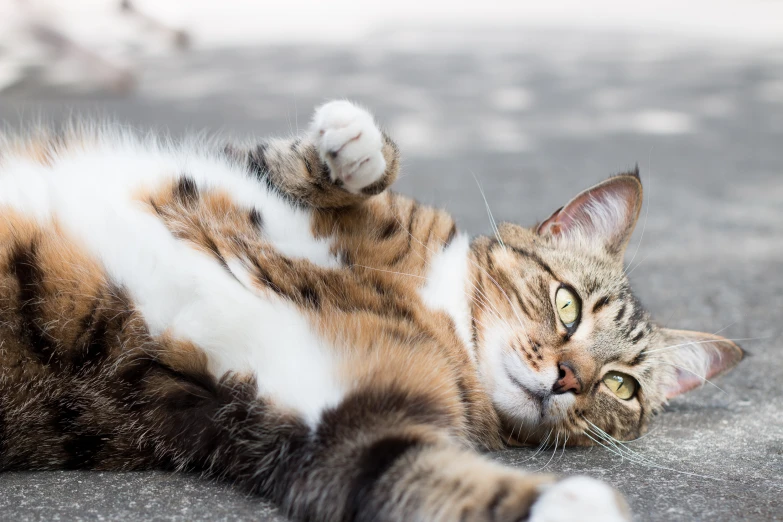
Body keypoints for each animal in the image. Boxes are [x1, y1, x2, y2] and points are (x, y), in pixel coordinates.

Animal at [0, 101, 744, 520]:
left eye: (620, 387)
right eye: (567, 305)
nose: (568, 379)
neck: (434, 310)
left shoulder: (338, 428)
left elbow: (422, 476)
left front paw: (569, 503)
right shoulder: (255, 169)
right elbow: (336, 166)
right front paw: (355, 146)